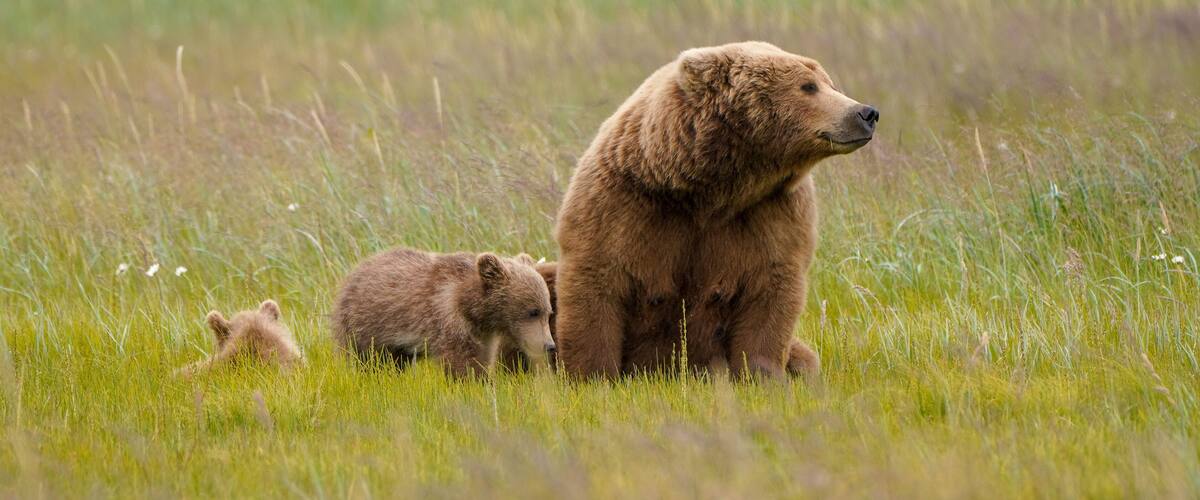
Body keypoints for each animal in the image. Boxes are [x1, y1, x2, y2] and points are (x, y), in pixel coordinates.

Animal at [332, 248, 555, 378]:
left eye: (548, 312)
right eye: (533, 312)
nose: (549, 345)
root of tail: (356, 270)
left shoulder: (483, 333)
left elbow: (483, 357)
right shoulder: (447, 318)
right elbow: (462, 361)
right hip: (366, 322)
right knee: (368, 358)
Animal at [554, 41, 876, 379]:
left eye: (829, 83)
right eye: (808, 86)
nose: (866, 113)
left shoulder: (772, 212)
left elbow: (771, 290)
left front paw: (762, 373)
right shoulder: (625, 201)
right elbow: (597, 278)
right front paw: (593, 373)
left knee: (804, 357)